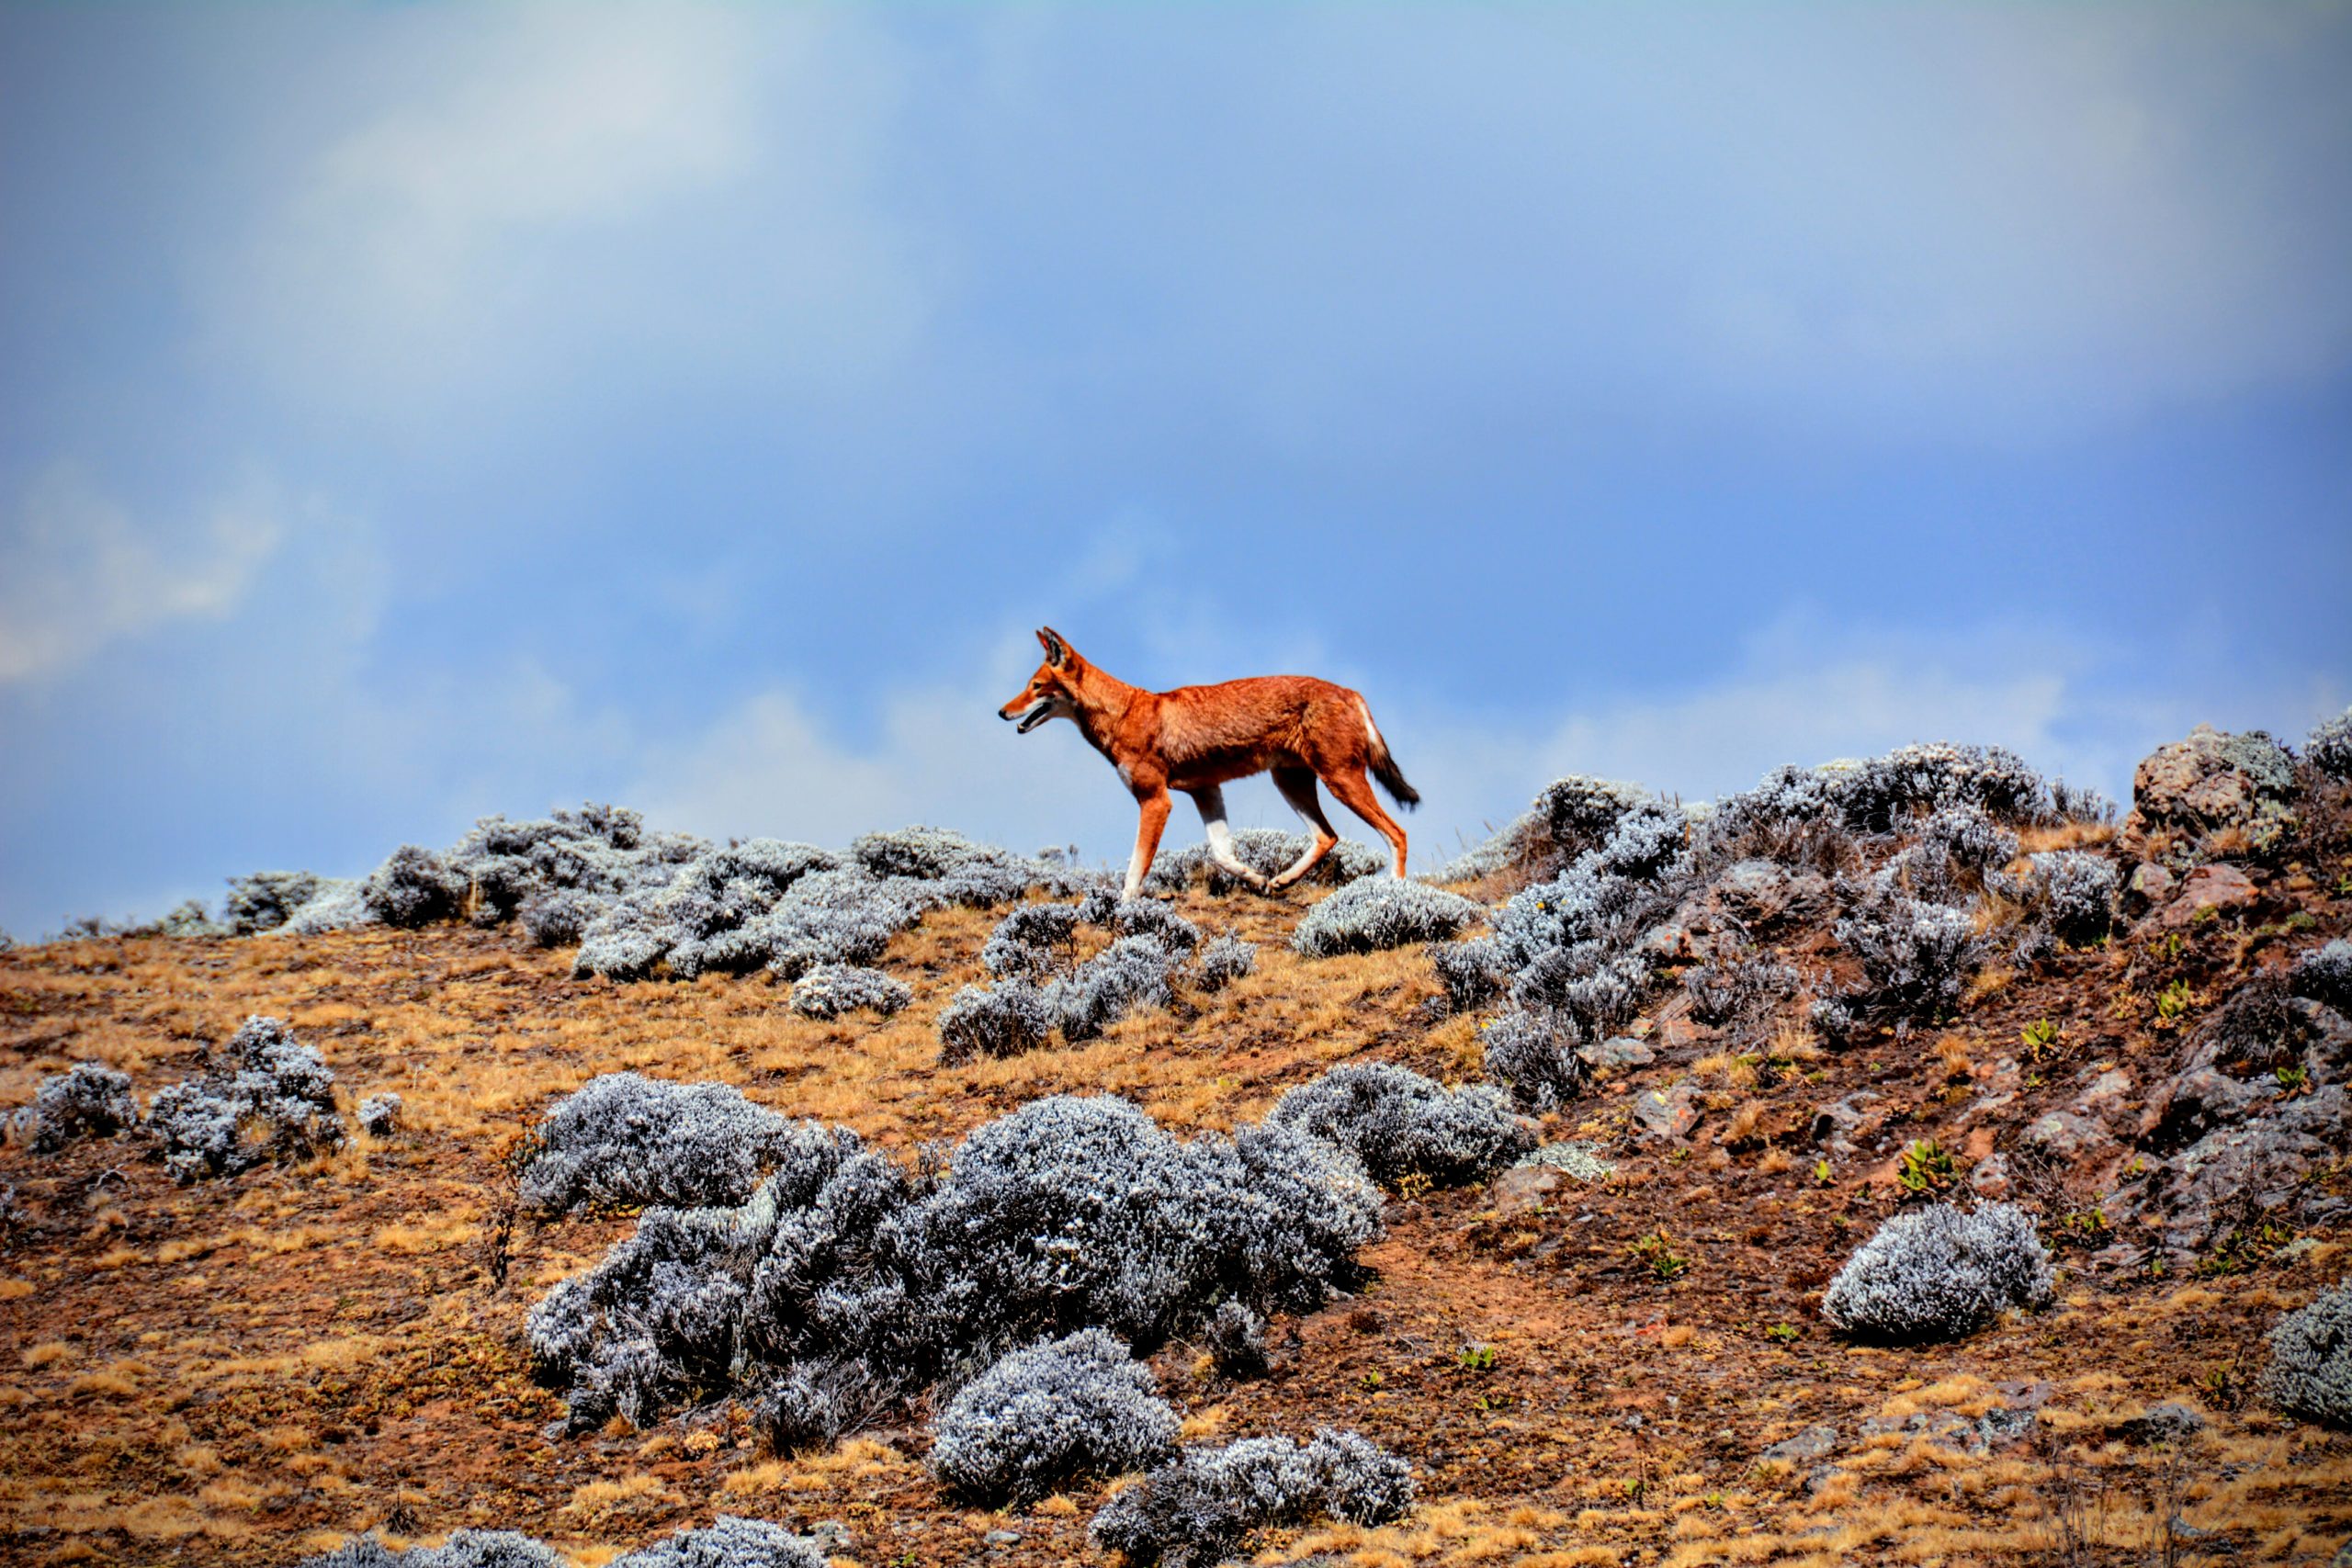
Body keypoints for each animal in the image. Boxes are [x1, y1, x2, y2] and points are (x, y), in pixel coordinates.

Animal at [992, 620, 1411, 893]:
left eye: (1036, 687)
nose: (1001, 712)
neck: (1125, 714)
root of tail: (1351, 692)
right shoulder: (1206, 791)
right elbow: (1222, 854)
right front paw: (1255, 877)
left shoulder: (1156, 801)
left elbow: (1134, 872)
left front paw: (1125, 912)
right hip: (1292, 784)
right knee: (1328, 836)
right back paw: (1283, 880)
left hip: (1339, 782)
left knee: (1397, 833)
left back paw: (1395, 894)